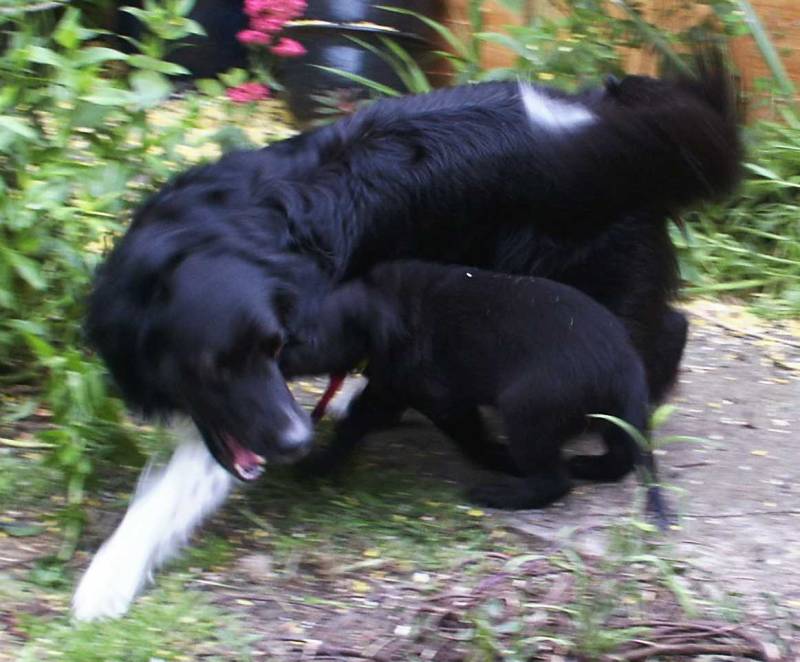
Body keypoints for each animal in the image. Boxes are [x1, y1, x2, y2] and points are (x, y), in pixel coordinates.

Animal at [75, 54, 741, 619]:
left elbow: (179, 484)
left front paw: (110, 575)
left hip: (580, 275)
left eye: (272, 347)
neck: (203, 235)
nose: (296, 441)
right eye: (212, 367)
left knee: (659, 335)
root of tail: (612, 119)